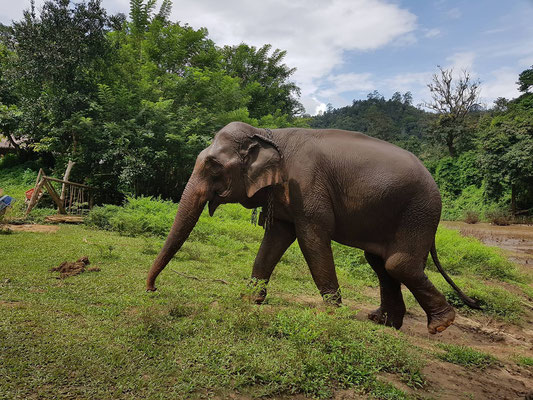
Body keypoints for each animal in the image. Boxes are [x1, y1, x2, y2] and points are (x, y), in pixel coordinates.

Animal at [145, 122, 478, 334]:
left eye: (214, 166)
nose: (152, 290)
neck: (268, 134)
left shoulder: (306, 187)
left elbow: (311, 238)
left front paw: (329, 312)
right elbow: (275, 239)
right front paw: (248, 299)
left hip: (418, 211)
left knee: (398, 264)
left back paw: (441, 324)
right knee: (380, 263)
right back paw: (382, 321)